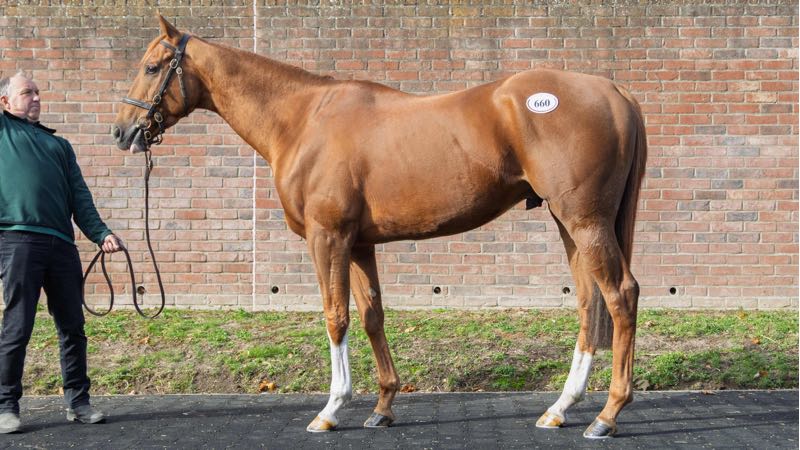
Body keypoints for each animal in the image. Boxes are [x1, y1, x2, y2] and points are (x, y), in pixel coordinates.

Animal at [113, 16, 647, 439]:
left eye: (153, 67)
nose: (122, 132)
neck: (302, 120)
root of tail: (614, 90)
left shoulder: (327, 237)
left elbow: (336, 316)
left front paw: (331, 409)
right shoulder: (359, 244)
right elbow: (372, 315)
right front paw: (383, 406)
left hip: (585, 221)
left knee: (620, 296)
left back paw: (607, 414)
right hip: (568, 222)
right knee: (589, 302)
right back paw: (561, 408)